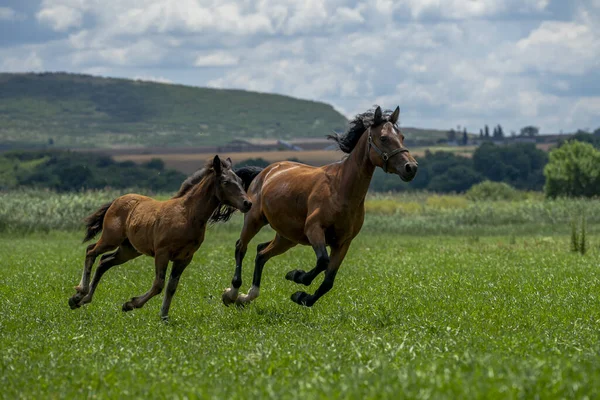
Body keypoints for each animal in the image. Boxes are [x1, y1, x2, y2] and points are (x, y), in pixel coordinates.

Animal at [69, 155, 252, 320]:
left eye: (240, 181)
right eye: (225, 182)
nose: (247, 203)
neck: (187, 214)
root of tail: (116, 200)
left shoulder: (185, 258)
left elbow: (171, 287)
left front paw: (164, 316)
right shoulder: (162, 253)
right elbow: (159, 284)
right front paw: (130, 304)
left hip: (129, 250)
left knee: (104, 262)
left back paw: (81, 300)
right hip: (111, 239)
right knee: (91, 251)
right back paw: (80, 293)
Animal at [221, 105, 418, 306]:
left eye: (402, 137)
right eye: (384, 138)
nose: (411, 167)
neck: (340, 189)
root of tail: (265, 172)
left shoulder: (343, 243)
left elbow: (328, 281)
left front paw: (301, 296)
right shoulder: (314, 229)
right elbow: (323, 261)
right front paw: (297, 276)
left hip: (287, 237)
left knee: (261, 253)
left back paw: (248, 296)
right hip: (254, 220)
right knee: (241, 247)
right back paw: (232, 293)